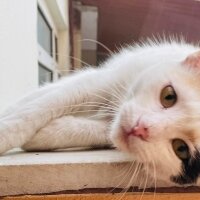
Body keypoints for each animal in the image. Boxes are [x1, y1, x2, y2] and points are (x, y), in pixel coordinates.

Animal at [1, 39, 200, 186]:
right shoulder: (103, 81)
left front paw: (47, 134)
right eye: (169, 96)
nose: (140, 128)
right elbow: (44, 104)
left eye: (181, 149)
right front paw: (6, 131)